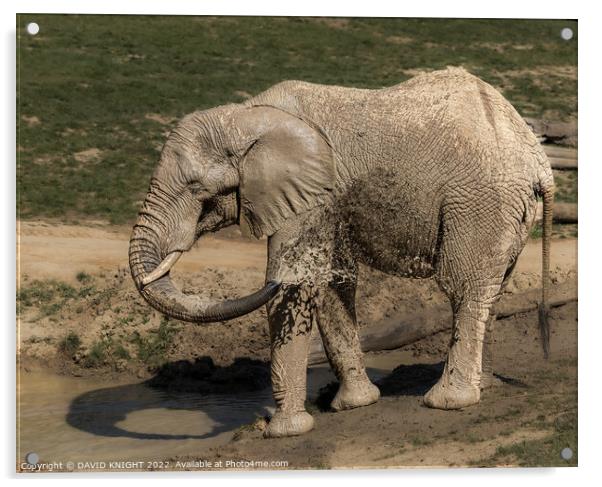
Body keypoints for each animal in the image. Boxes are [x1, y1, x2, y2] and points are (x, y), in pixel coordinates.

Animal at [130, 67, 552, 438]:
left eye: (196, 188)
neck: (246, 114)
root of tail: (536, 157)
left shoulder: (310, 192)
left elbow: (297, 286)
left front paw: (282, 432)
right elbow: (333, 282)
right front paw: (354, 404)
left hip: (480, 202)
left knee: (464, 287)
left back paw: (449, 401)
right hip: (507, 210)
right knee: (492, 287)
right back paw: (486, 386)